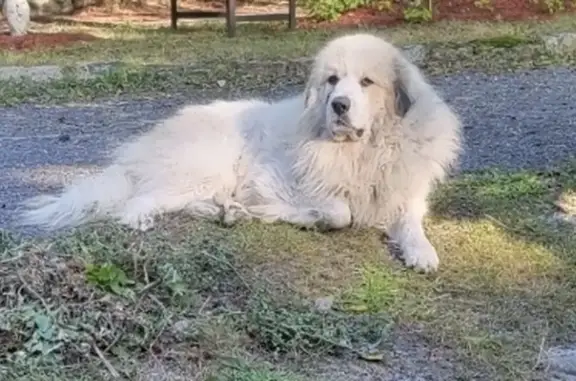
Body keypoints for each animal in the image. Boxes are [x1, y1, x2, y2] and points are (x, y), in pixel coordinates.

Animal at [19, 31, 464, 270]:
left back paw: (222, 211)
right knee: (138, 201)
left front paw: (421, 251)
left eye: (367, 82)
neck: (364, 150)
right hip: (207, 166)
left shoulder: (406, 193)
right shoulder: (278, 180)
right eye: (333, 80)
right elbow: (339, 211)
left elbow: (410, 222)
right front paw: (307, 217)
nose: (339, 105)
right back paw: (147, 218)